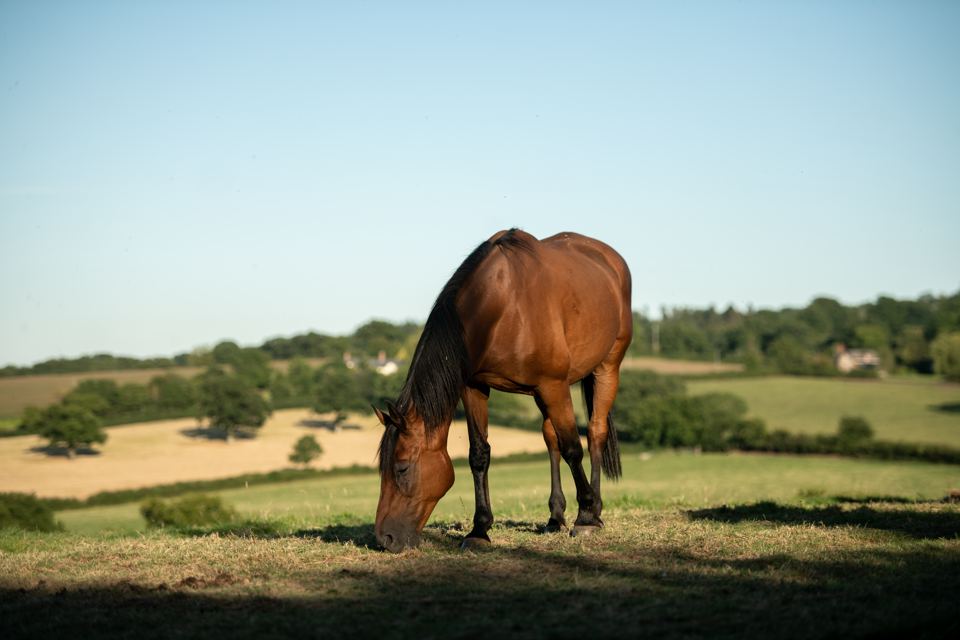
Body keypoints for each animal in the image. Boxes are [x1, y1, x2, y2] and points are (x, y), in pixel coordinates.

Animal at [373, 228, 632, 552]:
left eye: (402, 468)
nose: (384, 538)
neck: (502, 307)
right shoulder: (475, 387)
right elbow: (479, 454)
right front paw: (479, 530)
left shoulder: (554, 384)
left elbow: (573, 448)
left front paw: (585, 517)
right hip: (543, 394)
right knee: (550, 438)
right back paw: (555, 517)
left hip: (606, 368)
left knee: (595, 432)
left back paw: (594, 511)